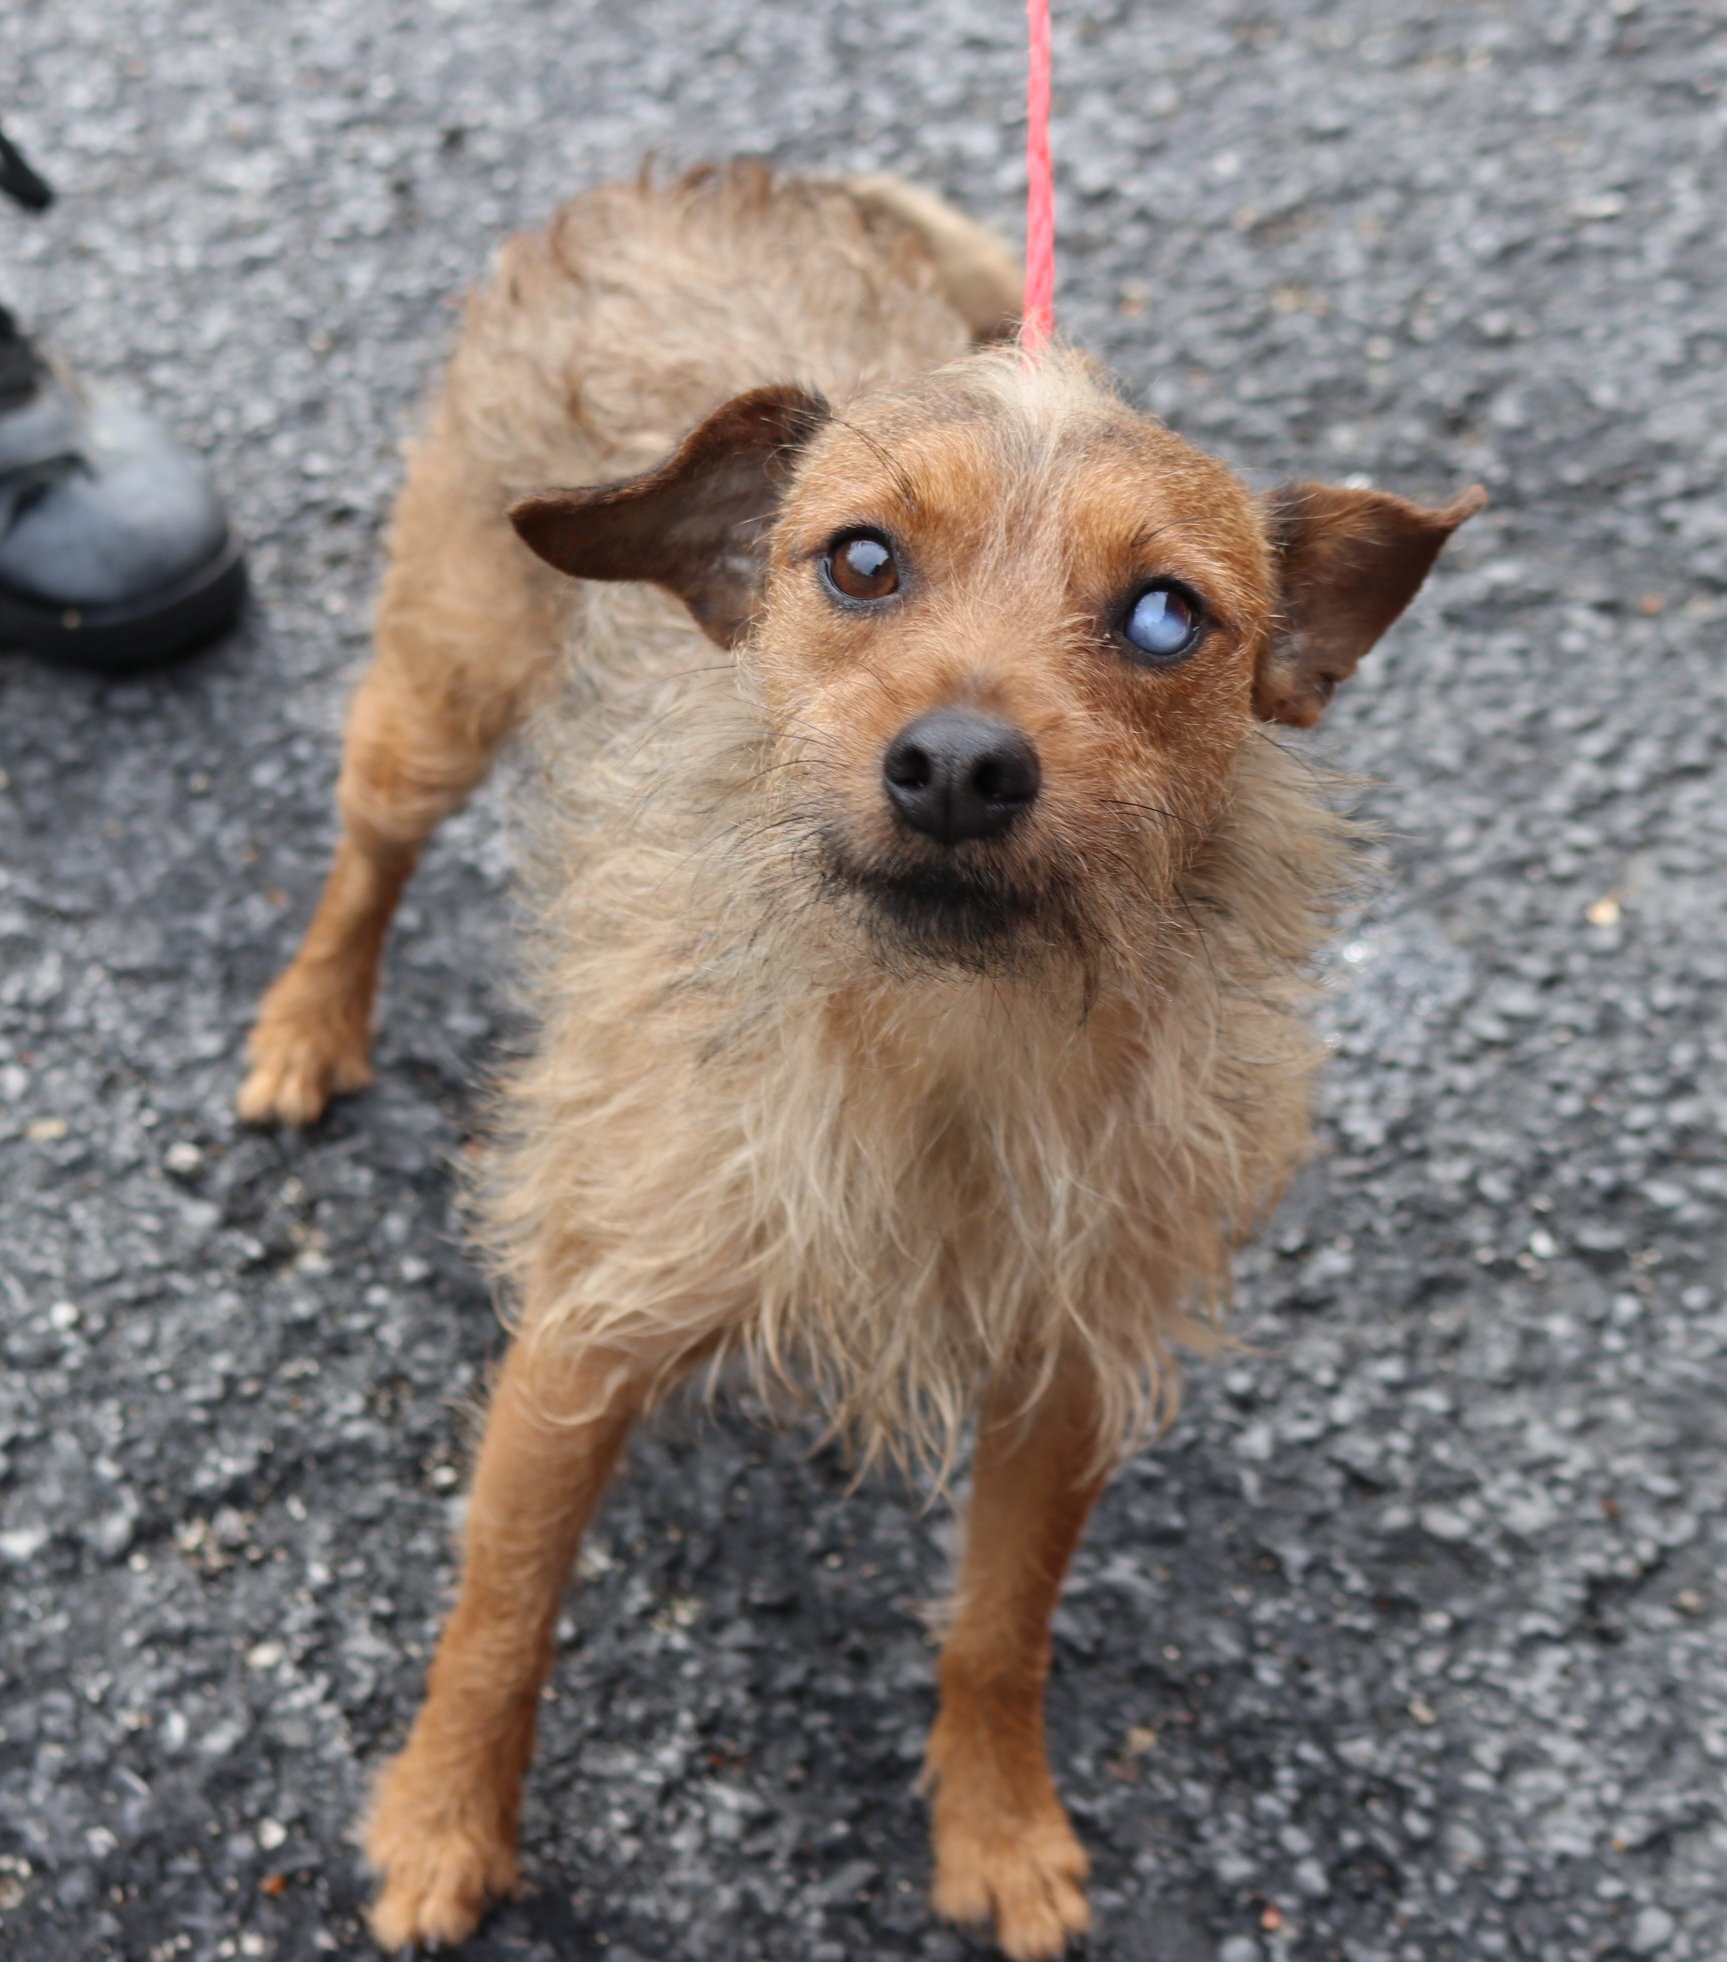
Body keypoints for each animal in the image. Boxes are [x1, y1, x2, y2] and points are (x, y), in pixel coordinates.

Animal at [239, 164, 1483, 1962]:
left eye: (1165, 614)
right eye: (862, 560)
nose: (958, 763)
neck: (938, 1028)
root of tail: (727, 178)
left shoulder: (1064, 1369)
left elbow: (999, 1627)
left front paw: (999, 1826)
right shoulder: (585, 1324)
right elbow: (502, 1603)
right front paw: (440, 1820)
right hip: (441, 683)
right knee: (370, 850)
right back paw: (307, 1026)